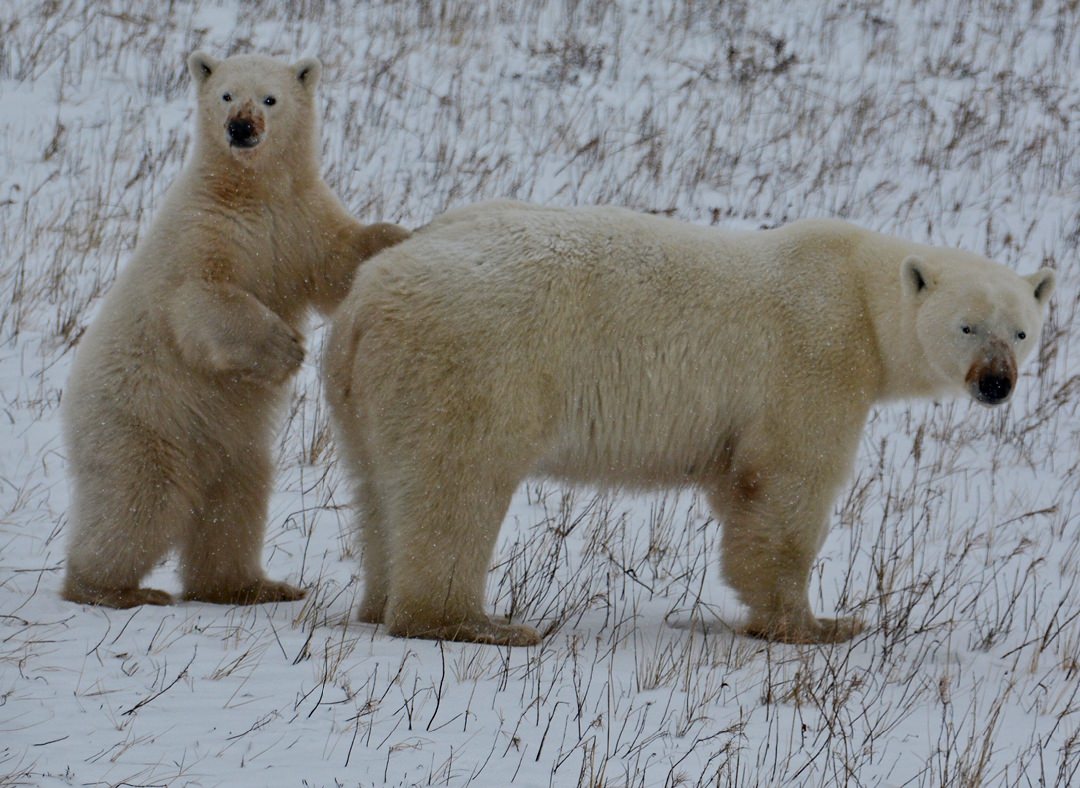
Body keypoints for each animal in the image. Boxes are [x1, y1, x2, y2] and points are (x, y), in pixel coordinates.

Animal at [61, 51, 410, 609]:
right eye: (226, 94)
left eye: (270, 98)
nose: (241, 128)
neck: (251, 189)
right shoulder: (205, 230)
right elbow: (204, 297)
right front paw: (287, 349)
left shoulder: (299, 219)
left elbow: (338, 262)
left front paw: (401, 236)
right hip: (143, 418)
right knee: (140, 499)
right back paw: (110, 588)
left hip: (229, 440)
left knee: (237, 500)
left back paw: (252, 586)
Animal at [322, 200, 1056, 647]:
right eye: (968, 327)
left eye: (1021, 331)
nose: (996, 383)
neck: (859, 296)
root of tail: (367, 295)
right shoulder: (813, 360)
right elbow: (786, 485)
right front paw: (819, 625)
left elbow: (738, 488)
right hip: (471, 358)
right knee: (459, 481)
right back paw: (474, 622)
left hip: (362, 393)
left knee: (376, 486)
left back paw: (377, 602)